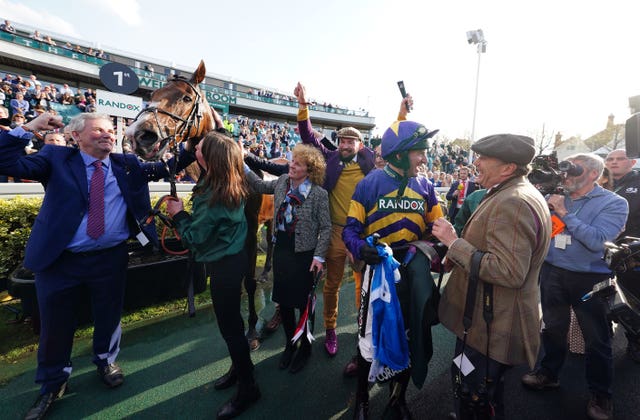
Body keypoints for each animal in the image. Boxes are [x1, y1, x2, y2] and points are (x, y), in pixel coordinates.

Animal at [126, 61, 266, 352]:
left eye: (186, 98)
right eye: (152, 94)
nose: (138, 135)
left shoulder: (249, 233)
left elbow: (248, 281)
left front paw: (252, 330)